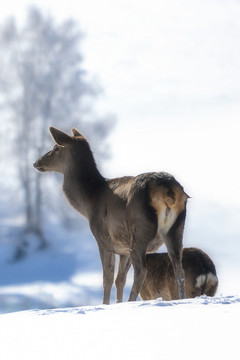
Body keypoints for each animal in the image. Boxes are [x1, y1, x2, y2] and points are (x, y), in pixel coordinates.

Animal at [32, 127, 188, 304]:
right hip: (176, 228)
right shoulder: (123, 249)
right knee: (179, 270)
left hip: (140, 229)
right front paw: (118, 303)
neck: (89, 203)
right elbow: (120, 279)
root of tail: (168, 190)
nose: (36, 162)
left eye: (56, 148)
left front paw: (105, 304)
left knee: (141, 272)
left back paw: (131, 301)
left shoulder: (103, 239)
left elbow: (107, 279)